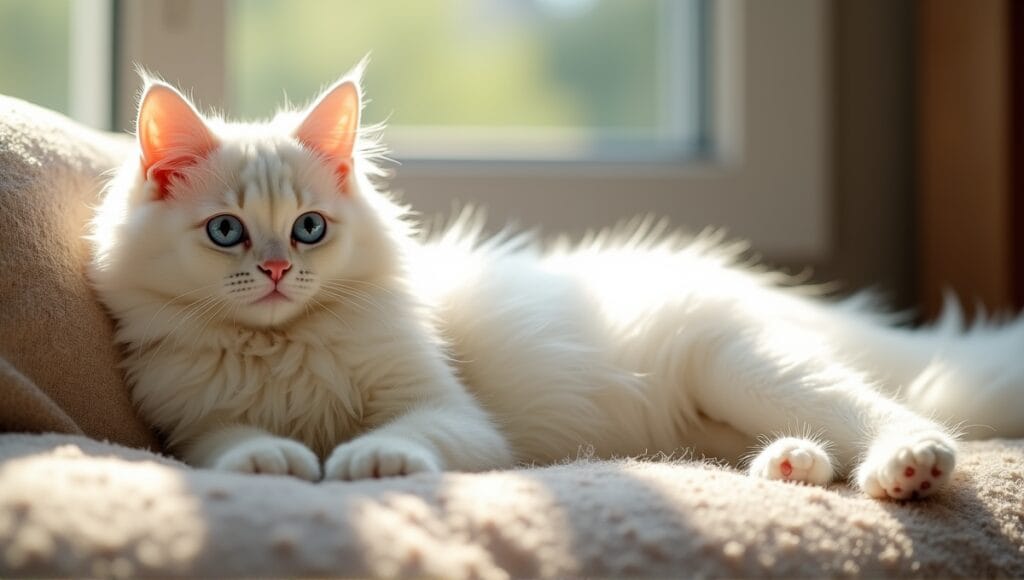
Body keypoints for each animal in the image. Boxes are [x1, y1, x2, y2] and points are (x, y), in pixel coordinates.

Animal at [90, 64, 1024, 500]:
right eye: (227, 231)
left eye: (310, 227)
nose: (281, 268)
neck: (284, 347)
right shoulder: (190, 422)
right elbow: (230, 445)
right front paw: (276, 462)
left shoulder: (454, 414)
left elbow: (406, 435)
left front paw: (364, 461)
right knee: (817, 439)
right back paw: (791, 468)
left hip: (747, 363)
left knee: (891, 413)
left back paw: (907, 470)